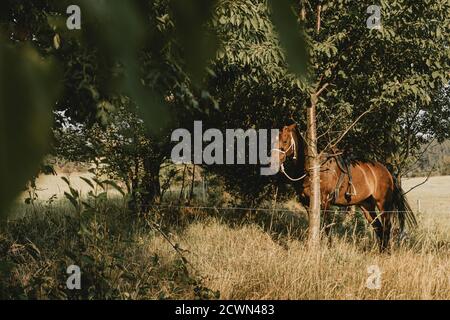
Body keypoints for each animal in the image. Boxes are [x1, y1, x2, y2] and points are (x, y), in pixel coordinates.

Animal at [268, 124, 416, 251]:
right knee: (378, 228)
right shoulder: (307, 203)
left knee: (386, 227)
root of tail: (387, 172)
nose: (274, 162)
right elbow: (314, 225)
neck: (315, 169)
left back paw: (386, 251)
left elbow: (326, 226)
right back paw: (381, 251)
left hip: (383, 204)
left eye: (285, 141)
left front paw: (329, 247)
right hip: (367, 206)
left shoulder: (325, 202)